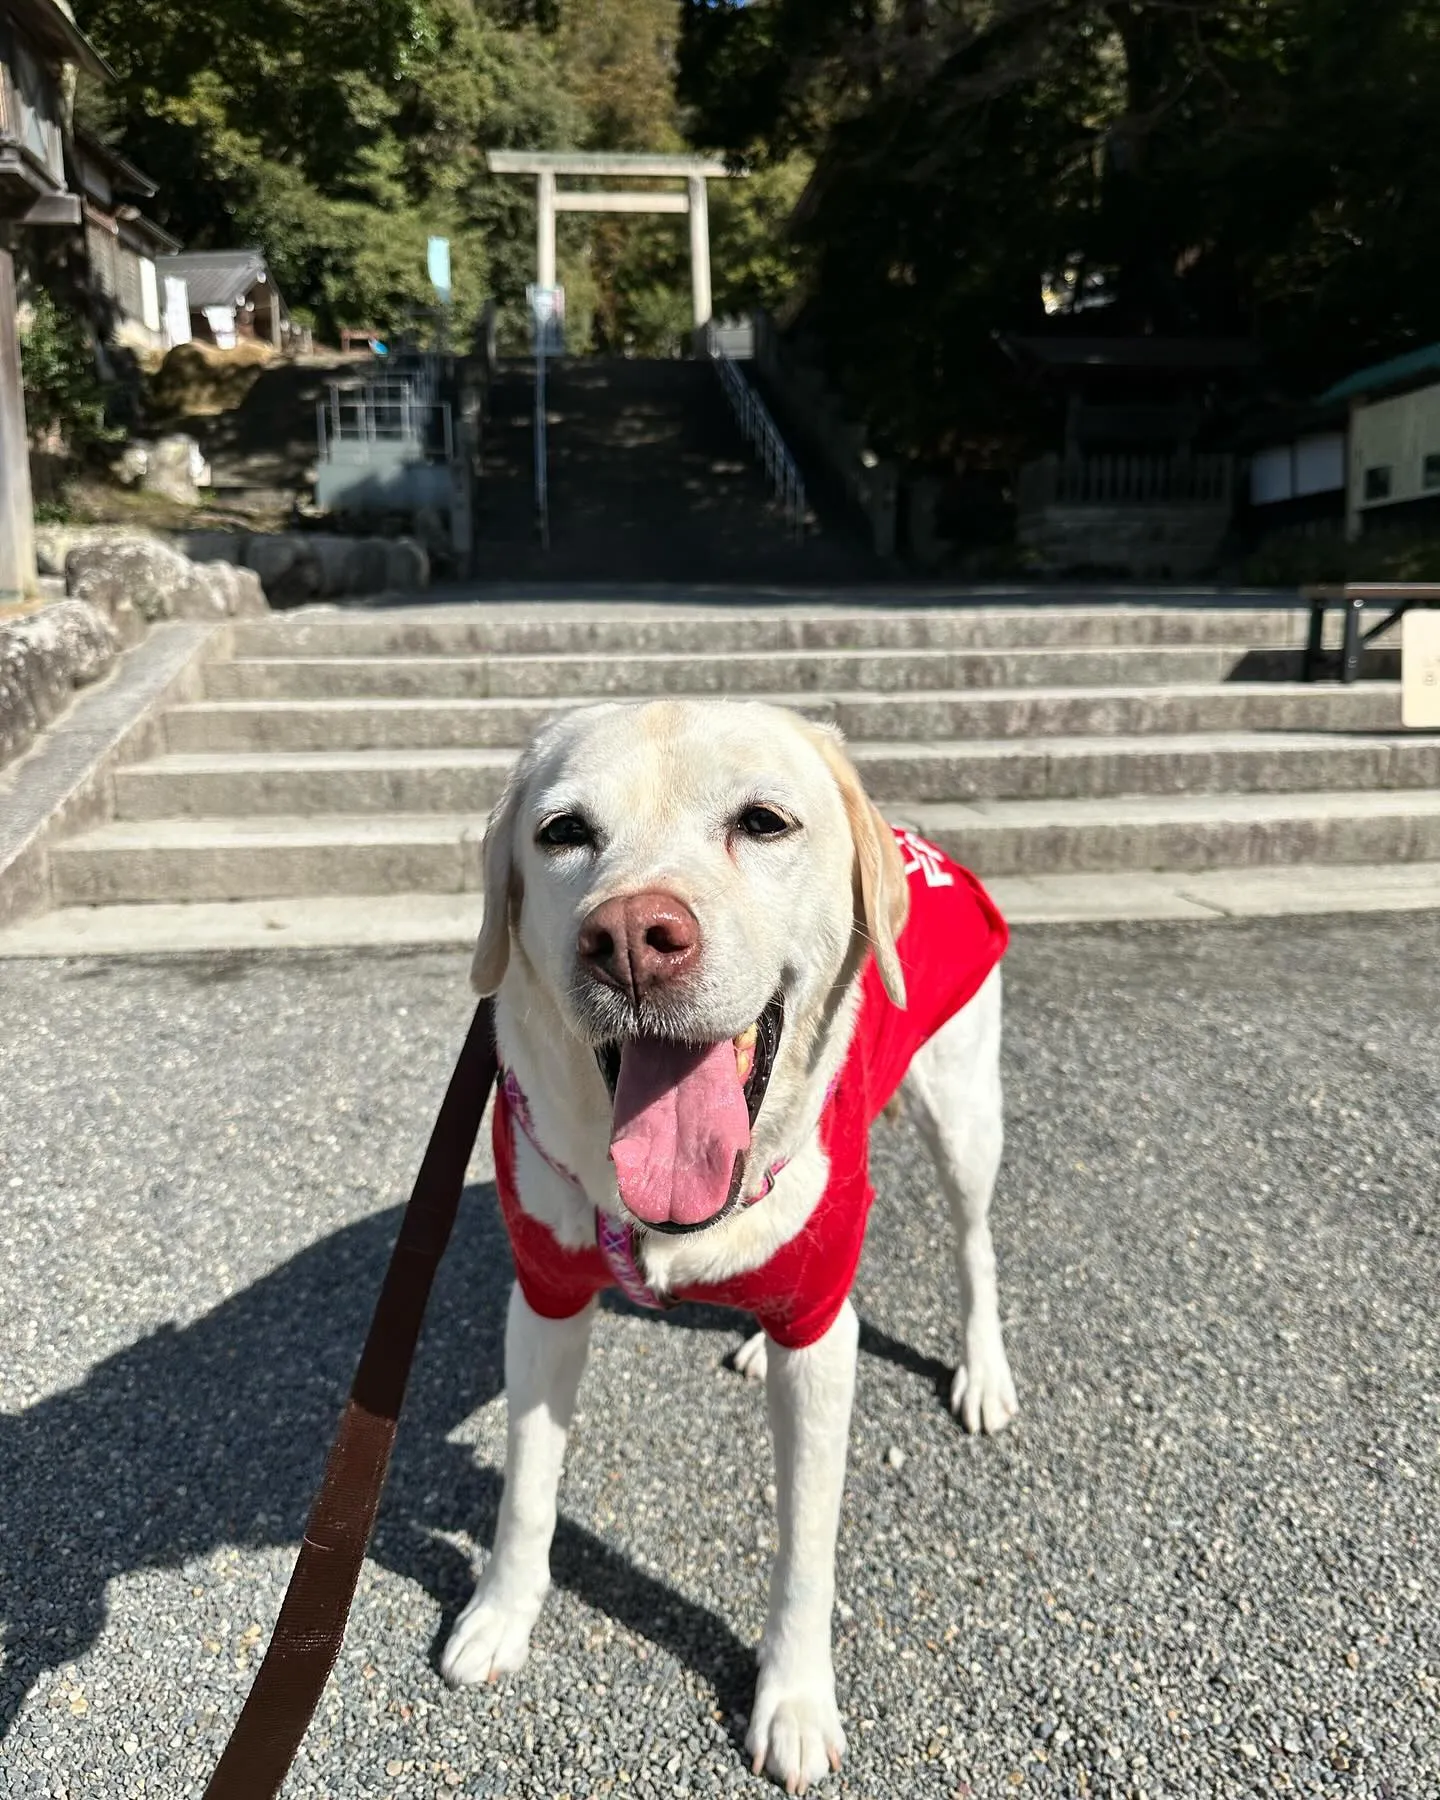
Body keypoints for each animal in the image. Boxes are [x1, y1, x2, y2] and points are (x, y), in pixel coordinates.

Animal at [444, 698, 1015, 1785]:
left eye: (762, 822)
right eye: (563, 832)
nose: (631, 938)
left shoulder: (825, 1341)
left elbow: (805, 1544)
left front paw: (793, 1700)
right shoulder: (544, 1297)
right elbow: (528, 1487)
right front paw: (501, 1615)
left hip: (964, 1112)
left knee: (975, 1245)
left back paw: (984, 1371)